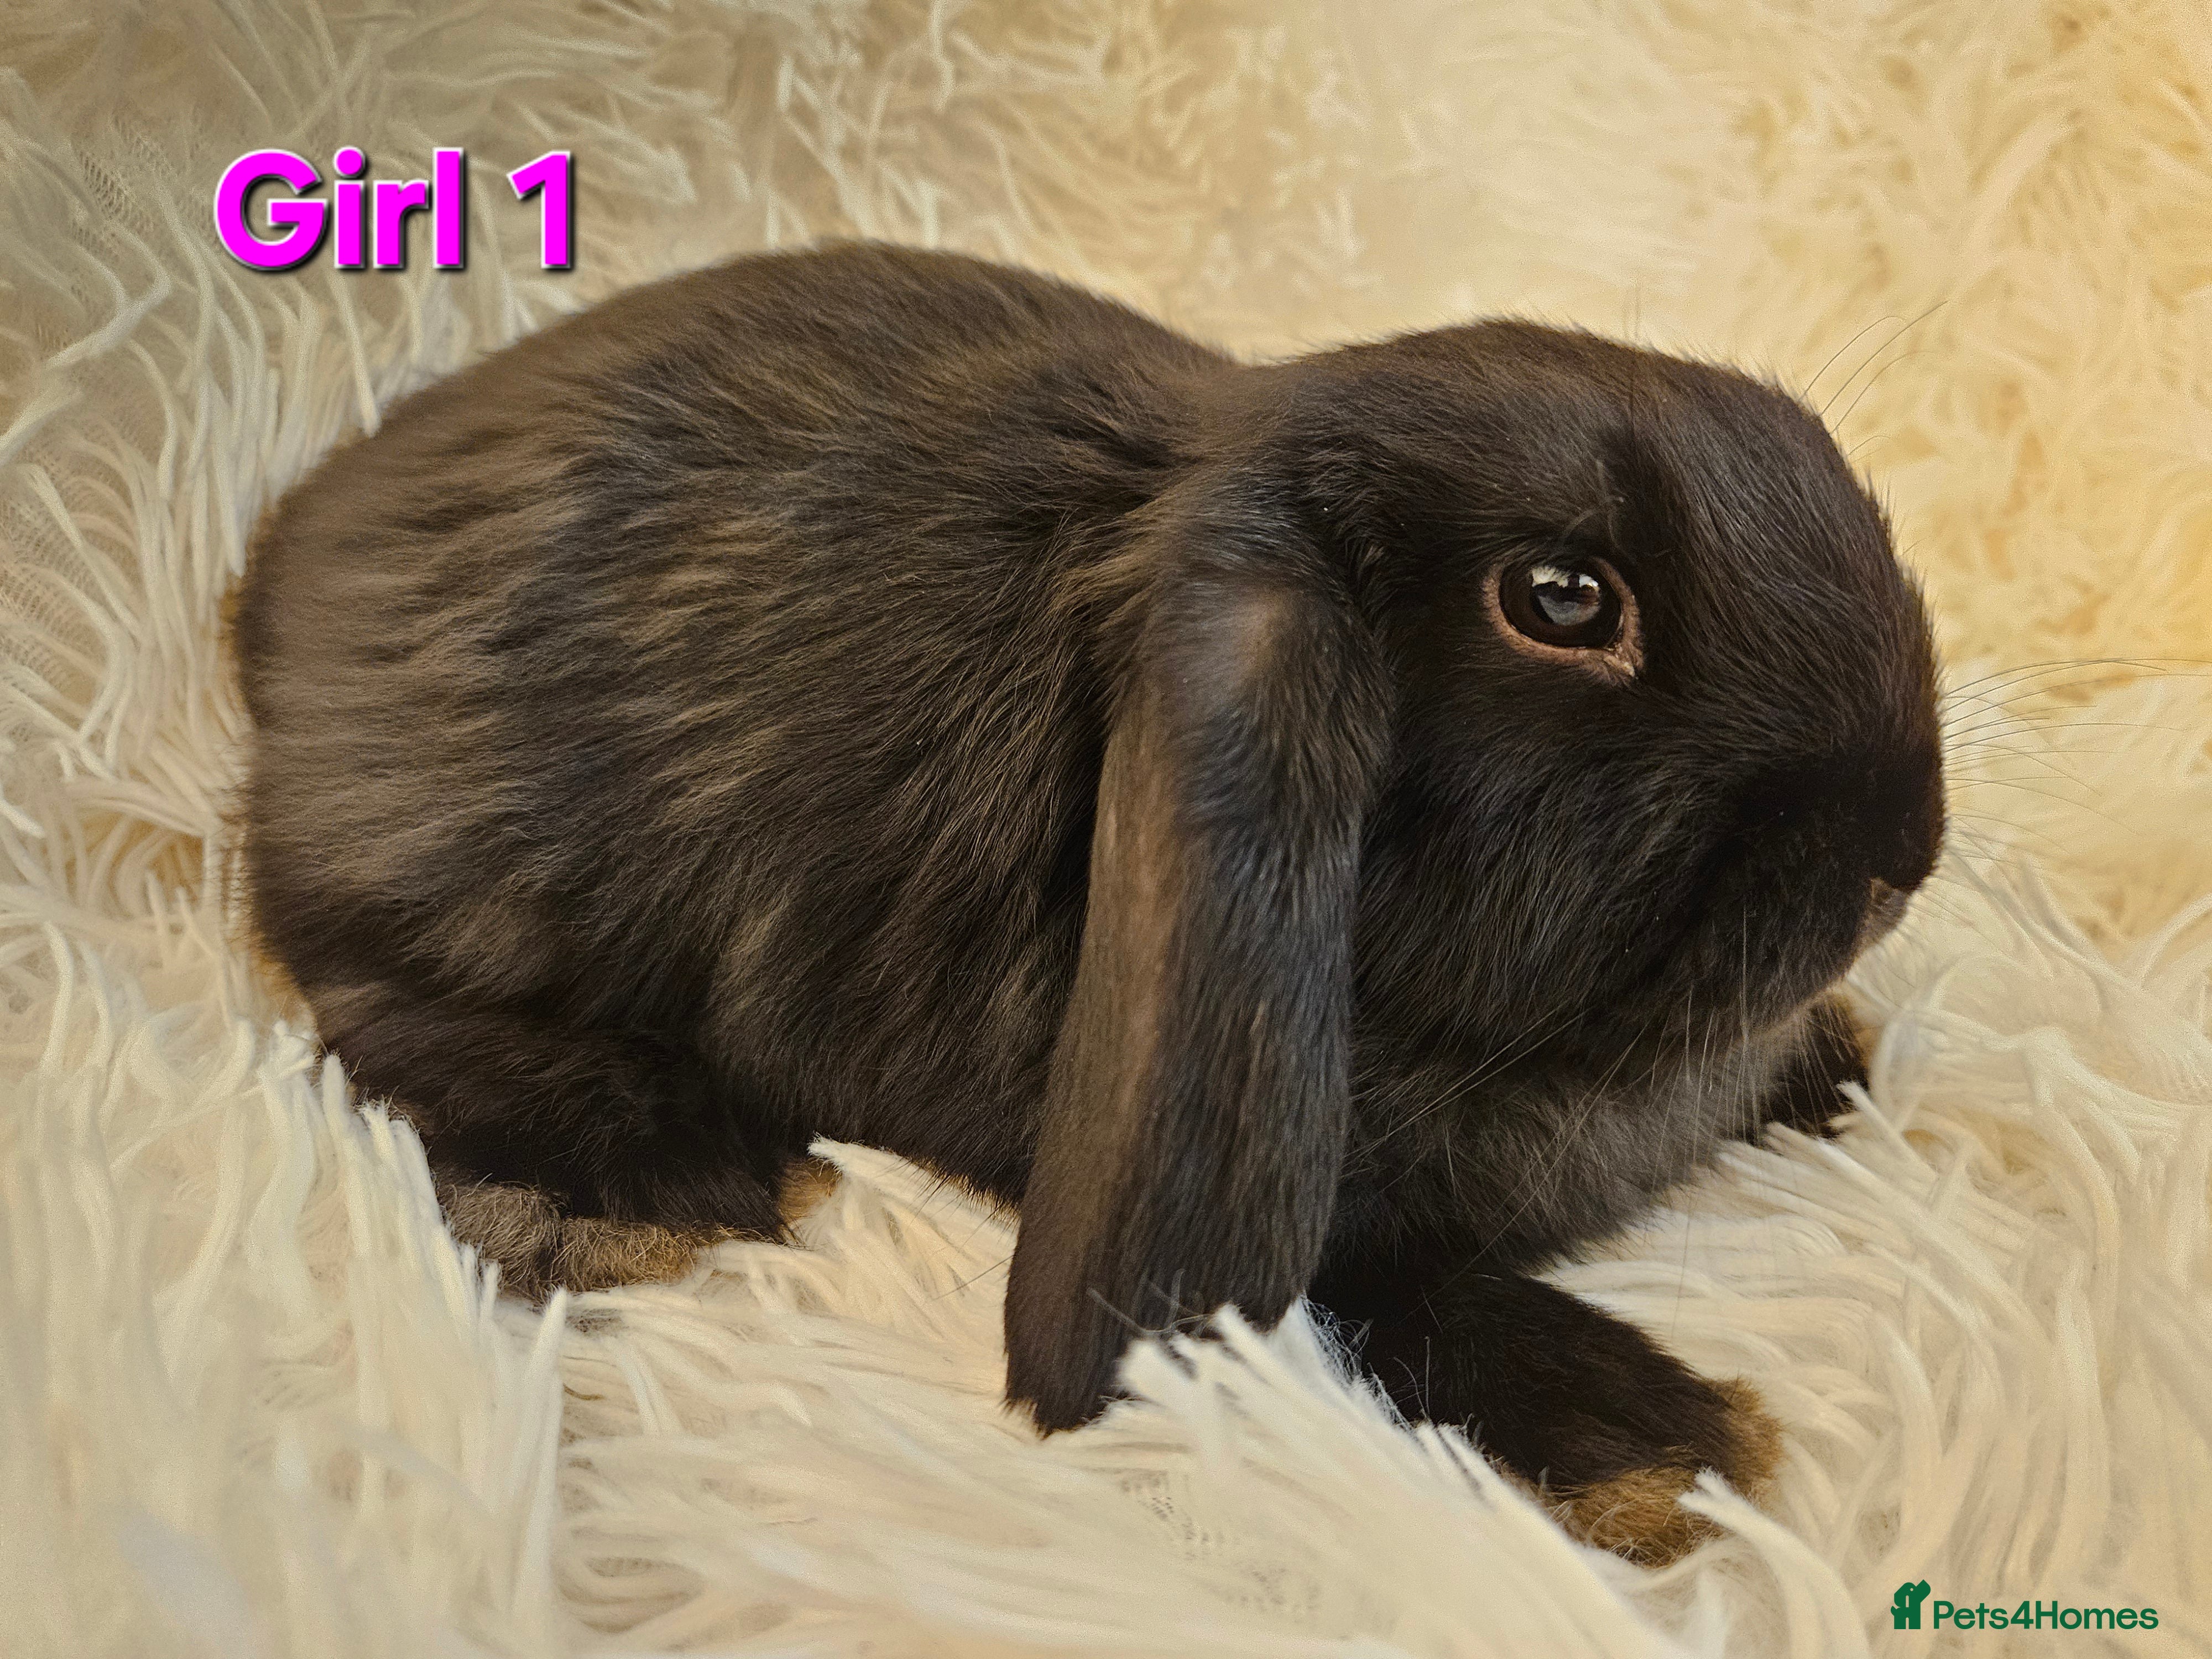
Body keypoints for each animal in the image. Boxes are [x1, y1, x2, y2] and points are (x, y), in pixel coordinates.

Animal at [231, 242, 1943, 1563]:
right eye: (1563, 598)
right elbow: (1350, 1293)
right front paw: (1666, 1452)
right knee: (363, 988)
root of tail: (296, 552)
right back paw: (642, 1190)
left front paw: (1832, 1072)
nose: (1902, 849)